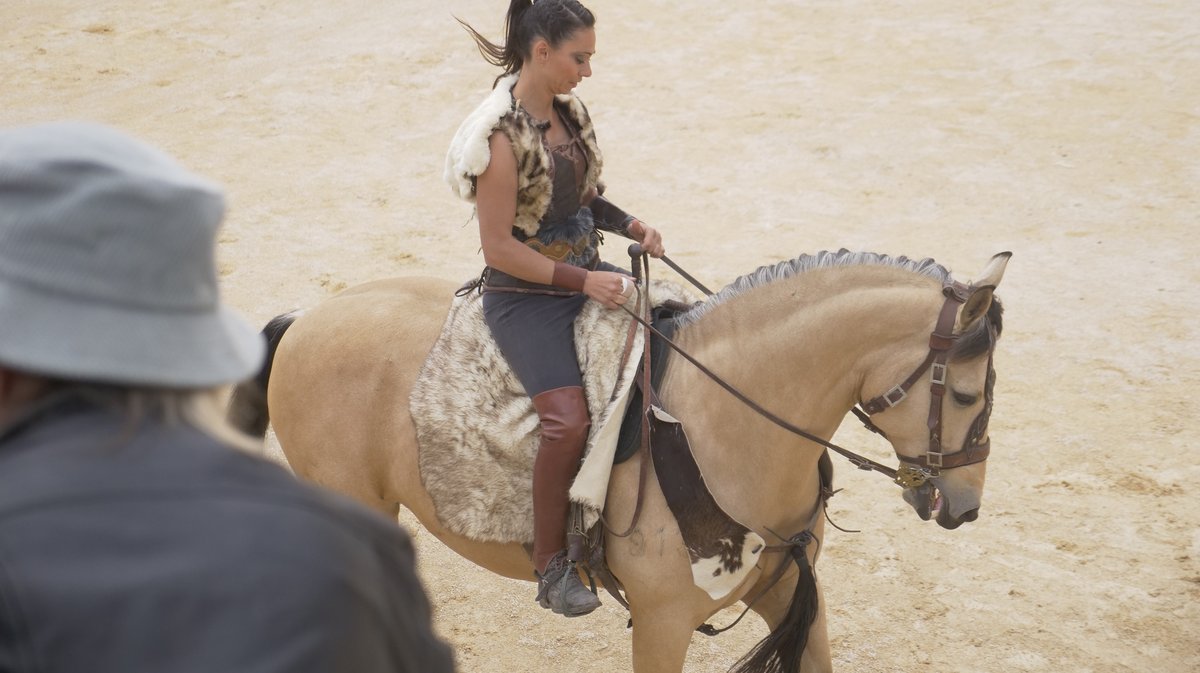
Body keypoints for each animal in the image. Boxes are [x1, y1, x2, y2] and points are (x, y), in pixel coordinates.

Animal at [229, 248, 1008, 671]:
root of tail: (305, 321)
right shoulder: (663, 623)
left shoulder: (788, 589)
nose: (966, 506)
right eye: (968, 392)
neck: (725, 426)